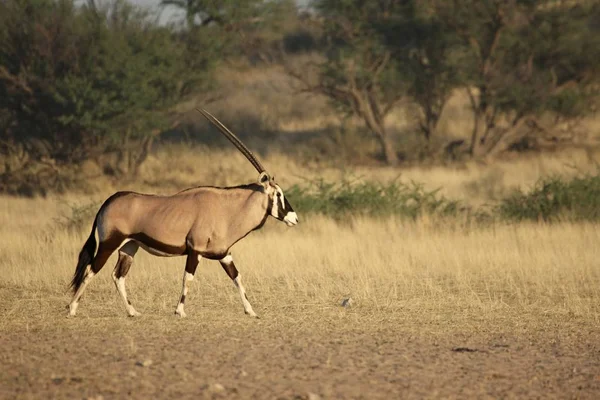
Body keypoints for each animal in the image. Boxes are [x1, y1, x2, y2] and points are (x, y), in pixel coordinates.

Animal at [68, 108, 298, 318]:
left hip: (129, 247)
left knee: (118, 276)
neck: (226, 210)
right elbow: (188, 279)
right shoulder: (195, 250)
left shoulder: (225, 254)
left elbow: (237, 278)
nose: (294, 218)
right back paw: (71, 309)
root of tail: (109, 201)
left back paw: (133, 312)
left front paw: (251, 311)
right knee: (90, 270)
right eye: (278, 193)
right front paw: (180, 311)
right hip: (109, 243)